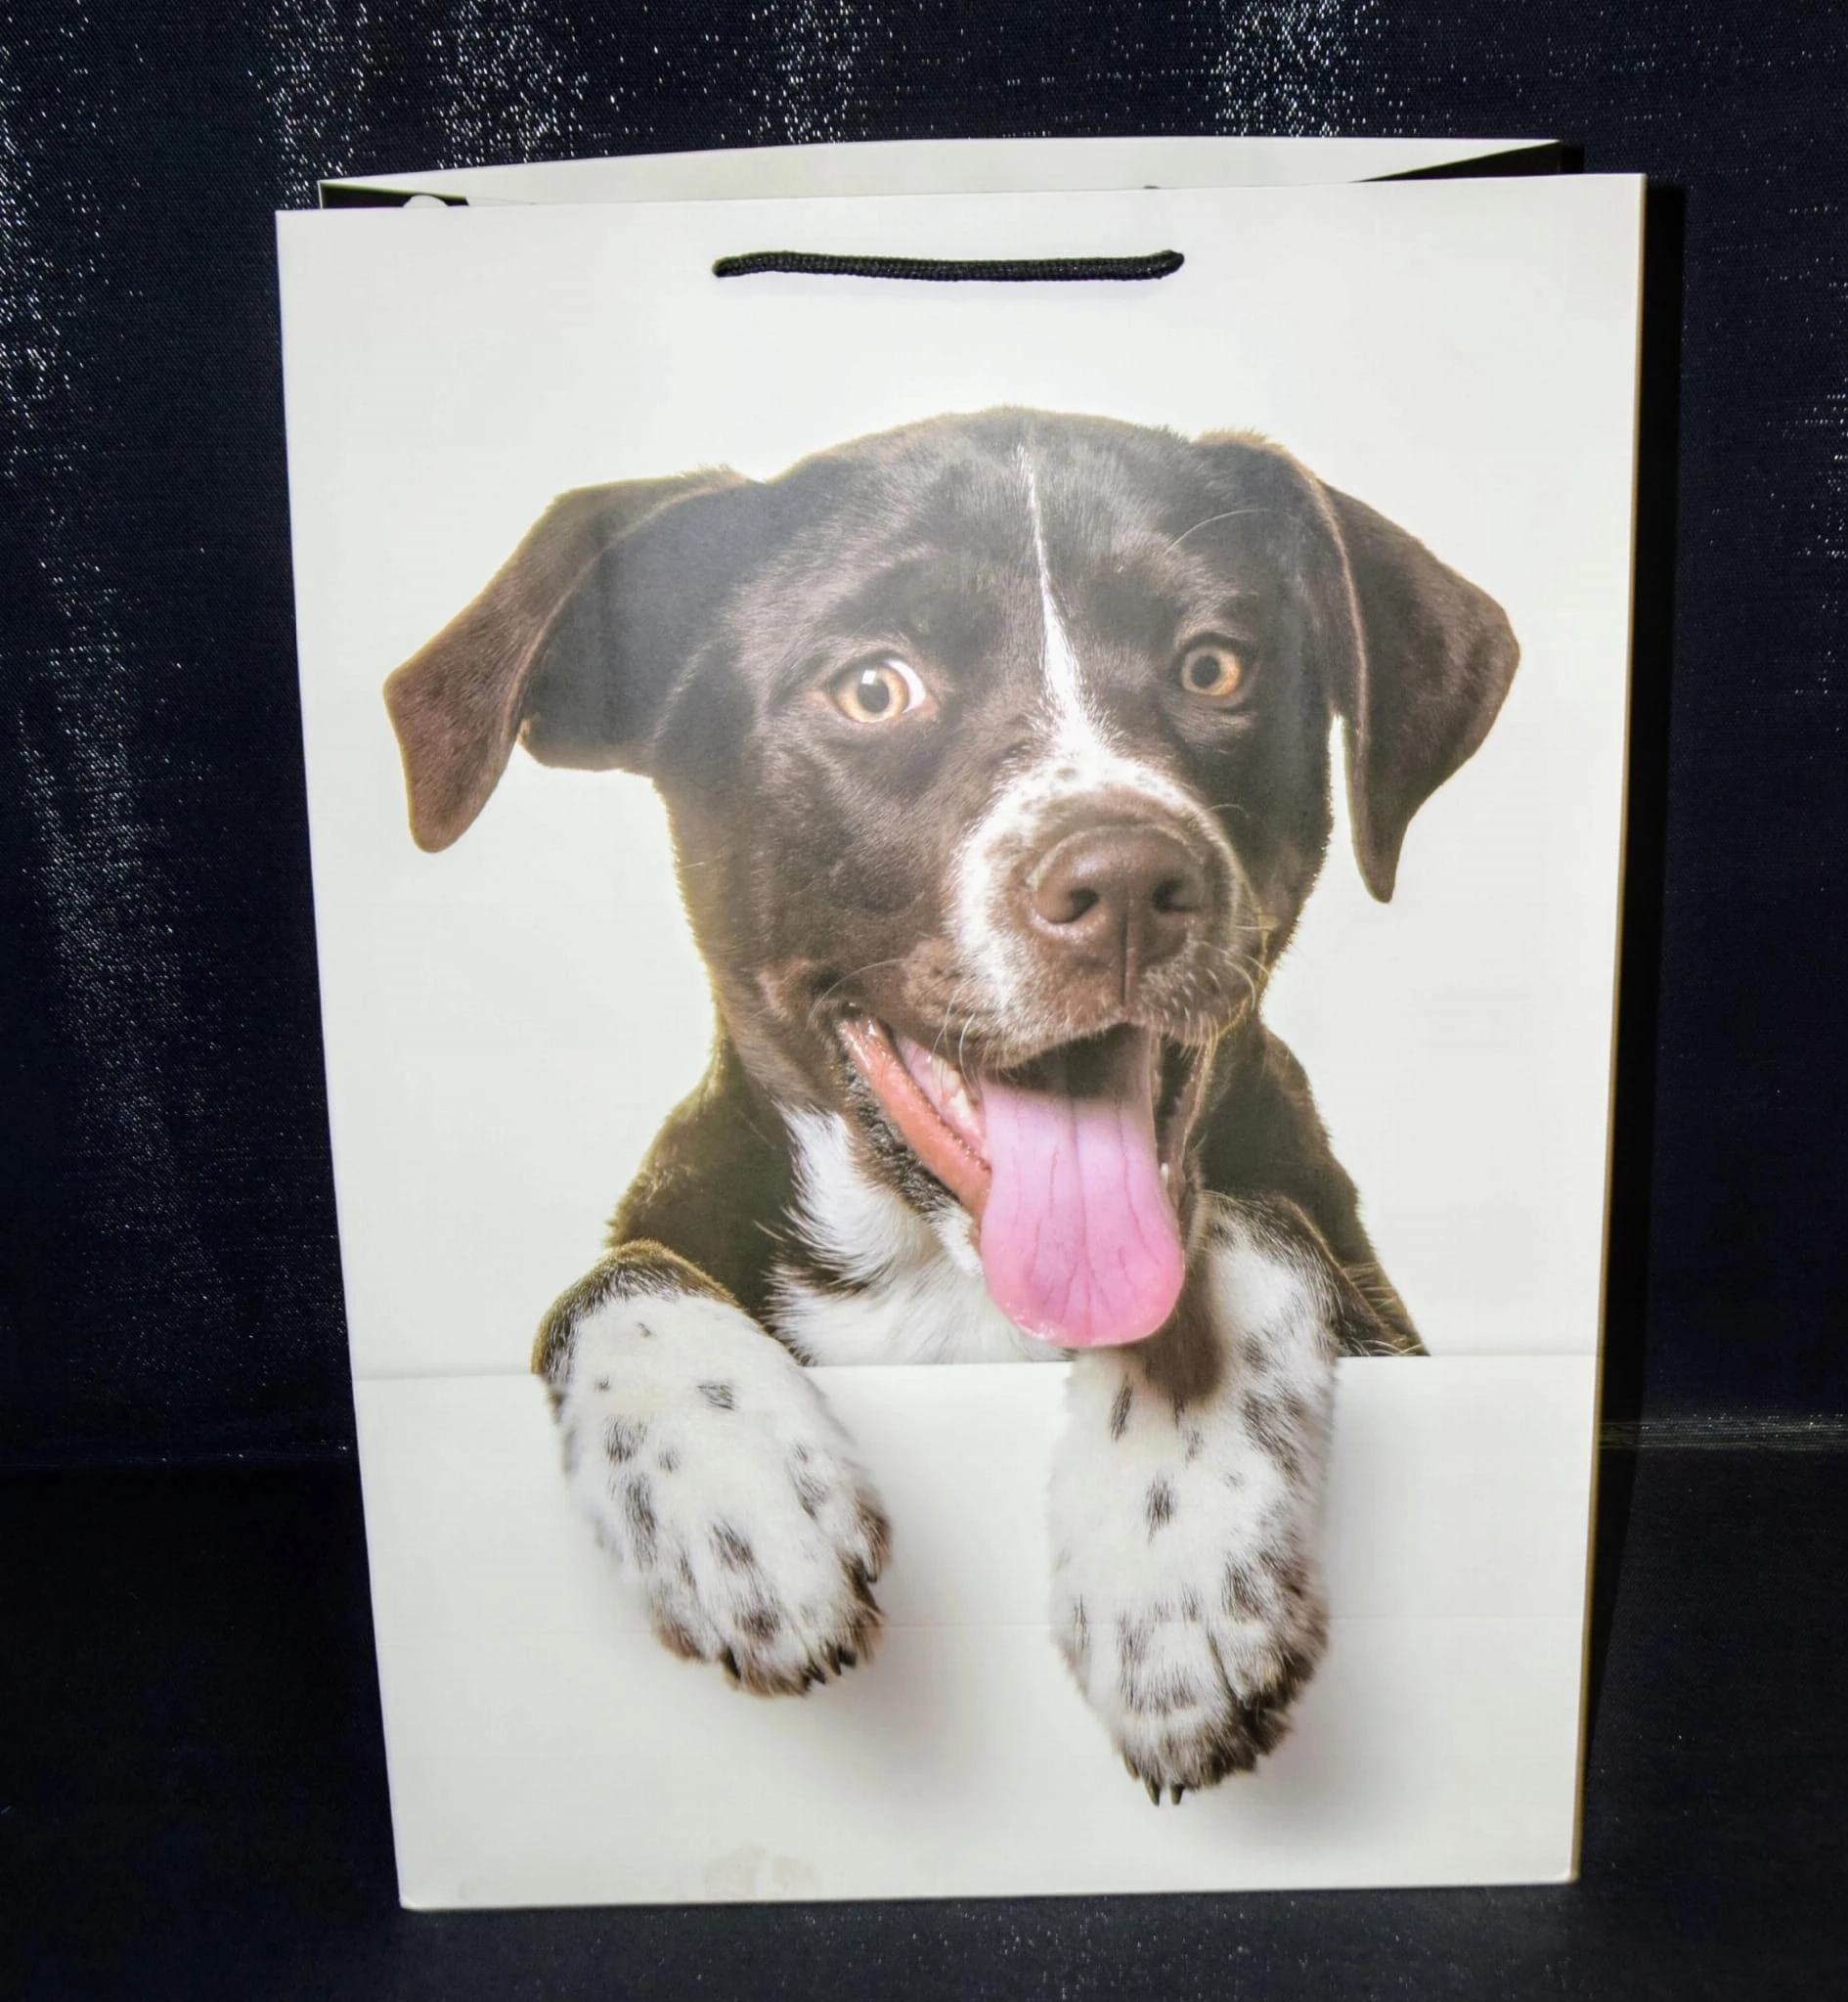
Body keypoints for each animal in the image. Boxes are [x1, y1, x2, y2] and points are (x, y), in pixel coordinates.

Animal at [384, 409, 1518, 1802]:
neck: (951, 1288)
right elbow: (607, 1282)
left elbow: (1253, 1228)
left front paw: (1175, 1545)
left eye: (1213, 667)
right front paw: (729, 1486)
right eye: (875, 687)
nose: (1128, 881)